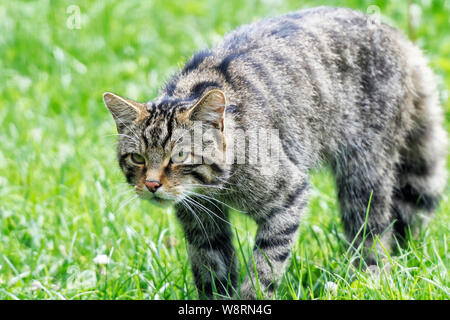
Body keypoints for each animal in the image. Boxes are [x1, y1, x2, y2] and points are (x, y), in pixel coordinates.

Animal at [104, 6, 446, 298]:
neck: (216, 188)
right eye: (137, 158)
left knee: (372, 231)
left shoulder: (288, 196)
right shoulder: (201, 224)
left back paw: (367, 277)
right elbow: (212, 270)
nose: (151, 185)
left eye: (178, 157)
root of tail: (395, 34)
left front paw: (251, 296)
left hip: (363, 173)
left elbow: (266, 265)